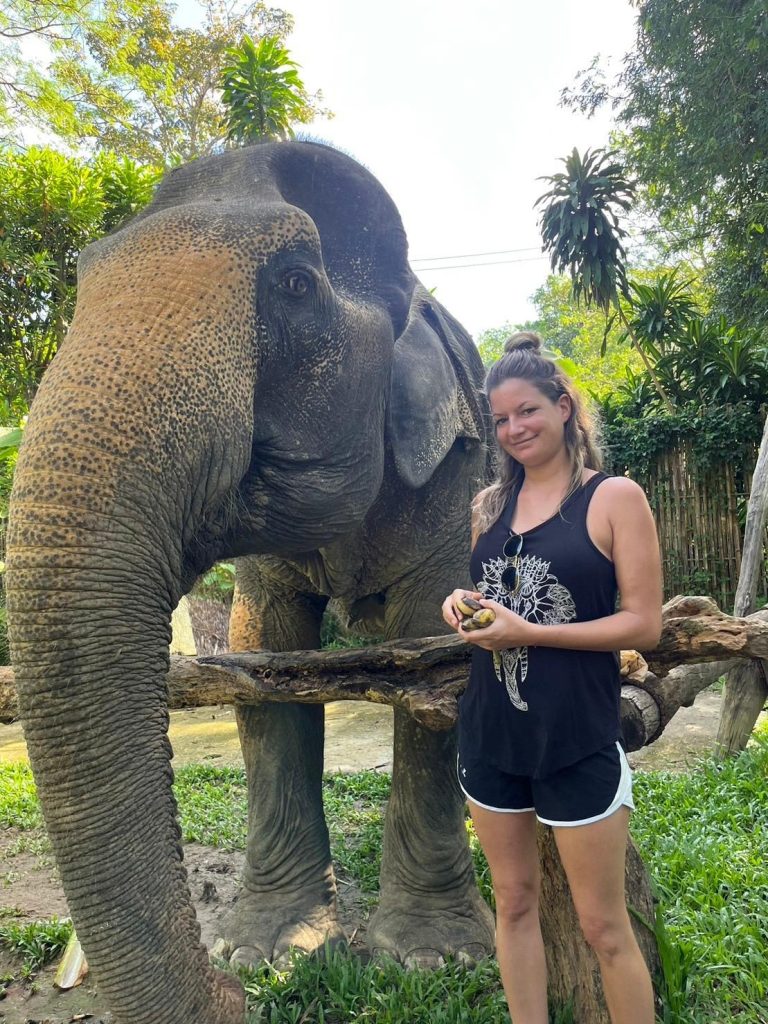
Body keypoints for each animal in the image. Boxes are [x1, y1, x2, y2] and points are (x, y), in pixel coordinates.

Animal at [4, 142, 493, 1024]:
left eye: (297, 284)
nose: (230, 995)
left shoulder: (452, 471)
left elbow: (438, 653)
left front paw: (433, 960)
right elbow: (261, 653)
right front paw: (267, 952)